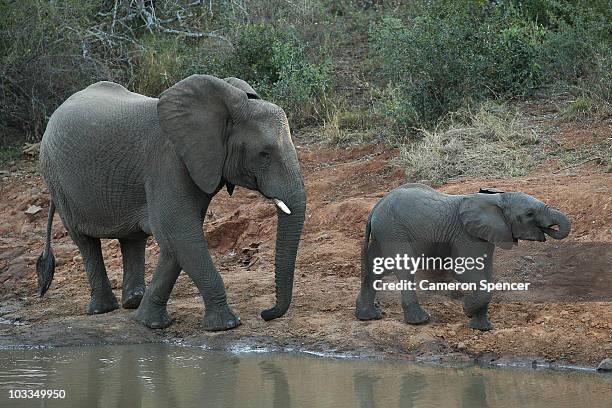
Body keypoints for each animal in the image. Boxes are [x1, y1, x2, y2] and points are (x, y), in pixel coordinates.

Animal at [36, 75, 306, 332]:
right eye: (264, 153)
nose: (265, 313)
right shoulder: (168, 163)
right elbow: (180, 234)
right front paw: (226, 325)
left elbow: (176, 242)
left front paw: (149, 322)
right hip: (57, 181)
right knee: (85, 242)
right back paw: (103, 309)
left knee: (132, 239)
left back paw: (133, 301)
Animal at [356, 183, 572, 330]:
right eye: (529, 214)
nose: (548, 229)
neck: (497, 199)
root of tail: (375, 207)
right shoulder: (466, 235)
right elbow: (464, 272)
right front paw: (467, 310)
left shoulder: (486, 234)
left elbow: (486, 274)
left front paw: (482, 327)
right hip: (393, 230)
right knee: (404, 269)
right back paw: (420, 320)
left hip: (384, 232)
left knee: (375, 269)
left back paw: (368, 317)